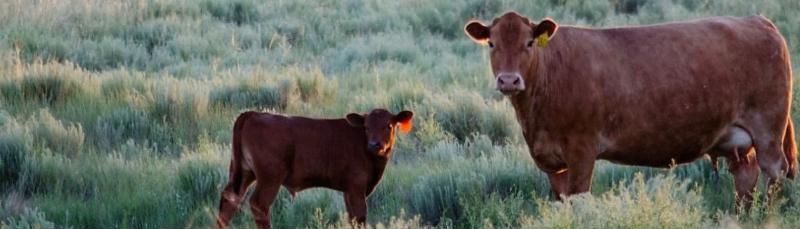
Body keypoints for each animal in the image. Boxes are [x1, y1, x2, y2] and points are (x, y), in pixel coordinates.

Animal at [216, 108, 416, 227]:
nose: (375, 144)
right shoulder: (356, 188)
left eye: (389, 125)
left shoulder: (347, 191)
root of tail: (253, 114)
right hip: (269, 178)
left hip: (243, 173)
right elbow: (359, 217)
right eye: (366, 127)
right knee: (259, 204)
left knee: (229, 202)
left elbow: (351, 217)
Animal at [466, 11, 796, 206]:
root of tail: (759, 21)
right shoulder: (554, 163)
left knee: (774, 173)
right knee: (746, 178)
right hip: (736, 139)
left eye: (530, 42)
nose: (509, 80)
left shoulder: (582, 151)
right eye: (492, 44)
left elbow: (580, 199)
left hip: (768, 129)